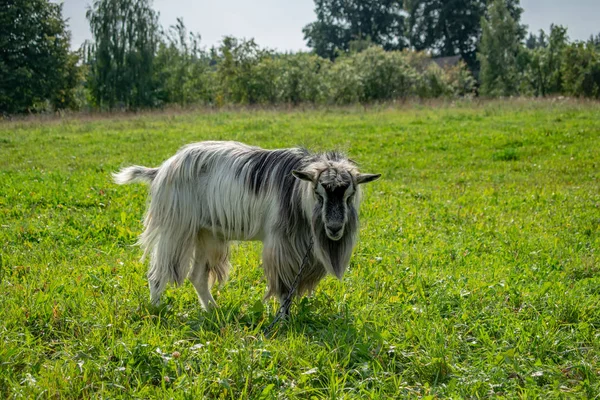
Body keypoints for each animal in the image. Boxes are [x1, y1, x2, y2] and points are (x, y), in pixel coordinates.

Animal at [113, 141, 380, 316]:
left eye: (349, 194)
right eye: (318, 193)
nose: (334, 228)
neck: (296, 192)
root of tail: (162, 169)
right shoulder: (280, 245)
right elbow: (284, 287)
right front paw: (284, 320)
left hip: (206, 234)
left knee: (197, 276)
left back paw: (213, 311)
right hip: (176, 227)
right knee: (158, 273)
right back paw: (157, 309)